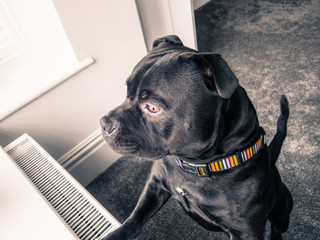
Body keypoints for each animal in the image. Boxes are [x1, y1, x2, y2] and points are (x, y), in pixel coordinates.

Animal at [100, 35, 292, 240]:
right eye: (127, 92)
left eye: (152, 107)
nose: (104, 124)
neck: (193, 165)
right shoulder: (155, 183)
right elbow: (135, 218)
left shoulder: (246, 232)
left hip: (283, 208)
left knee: (278, 227)